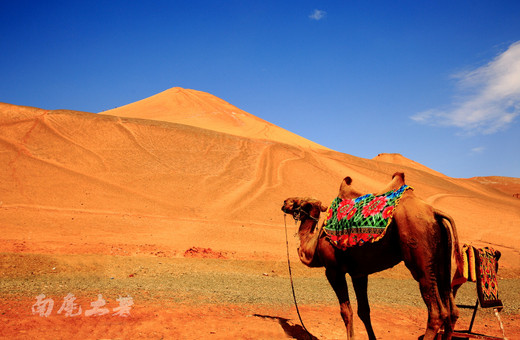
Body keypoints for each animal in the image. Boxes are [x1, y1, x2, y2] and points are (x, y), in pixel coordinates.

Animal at [280, 174, 464, 338]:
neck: (314, 244)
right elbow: (364, 310)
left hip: (419, 256)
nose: (285, 202)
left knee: (436, 313)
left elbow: (346, 311)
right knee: (452, 311)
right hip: (442, 259)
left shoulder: (333, 270)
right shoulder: (359, 273)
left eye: (301, 201)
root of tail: (434, 212)